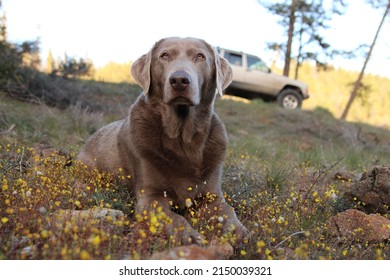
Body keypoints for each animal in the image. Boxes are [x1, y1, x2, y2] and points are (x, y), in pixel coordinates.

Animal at [78, 36, 250, 245]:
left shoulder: (212, 195)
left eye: (200, 56)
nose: (179, 80)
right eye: (165, 55)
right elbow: (174, 217)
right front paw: (189, 236)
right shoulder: (150, 197)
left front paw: (239, 232)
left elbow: (228, 211)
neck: (183, 139)